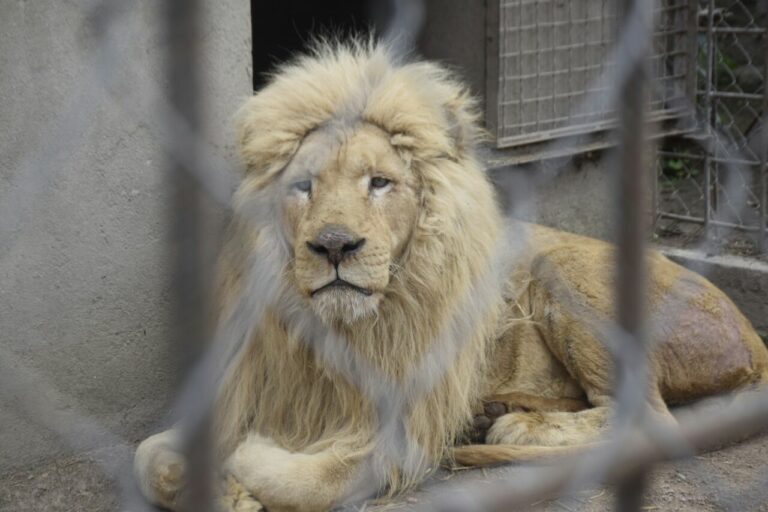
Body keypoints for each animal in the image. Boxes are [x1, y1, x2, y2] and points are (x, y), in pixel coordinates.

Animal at [135, 41, 768, 512]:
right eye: (303, 186)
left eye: (380, 183)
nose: (334, 245)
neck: (334, 331)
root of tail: (755, 340)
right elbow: (146, 459)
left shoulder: (398, 430)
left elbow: (304, 480)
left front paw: (241, 471)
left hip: (564, 271)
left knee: (647, 418)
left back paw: (516, 428)